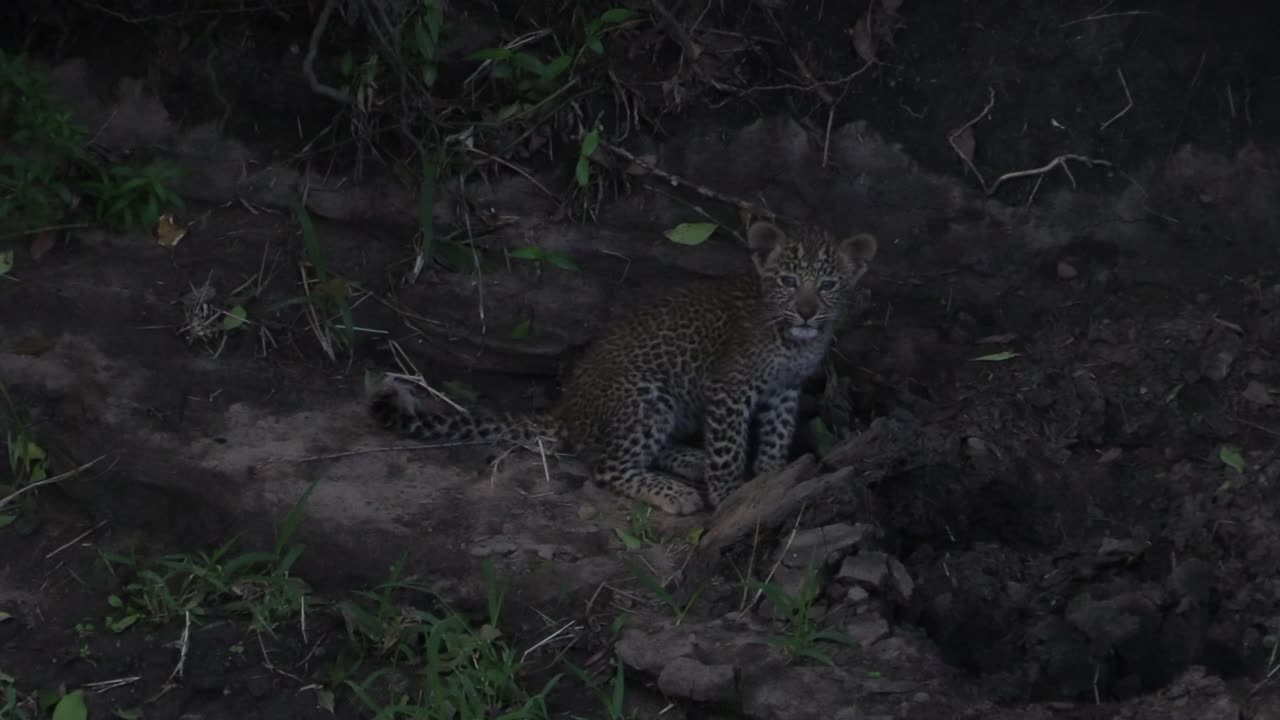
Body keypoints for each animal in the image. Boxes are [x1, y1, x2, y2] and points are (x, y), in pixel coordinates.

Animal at [368, 220, 877, 515]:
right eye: (788, 281)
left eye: (828, 285)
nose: (808, 312)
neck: (791, 341)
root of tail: (568, 409)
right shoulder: (731, 389)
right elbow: (729, 449)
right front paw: (730, 494)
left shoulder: (784, 391)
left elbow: (776, 436)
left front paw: (769, 479)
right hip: (646, 396)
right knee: (608, 467)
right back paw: (677, 493)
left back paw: (689, 461)